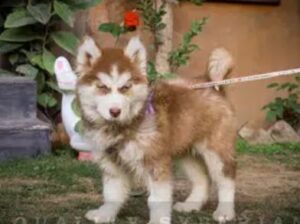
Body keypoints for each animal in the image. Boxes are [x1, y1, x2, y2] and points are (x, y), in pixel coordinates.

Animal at [75, 36, 237, 223]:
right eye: (102, 87)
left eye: (125, 87)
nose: (115, 111)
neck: (121, 127)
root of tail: (210, 83)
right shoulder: (111, 163)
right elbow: (111, 193)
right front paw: (105, 213)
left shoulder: (155, 162)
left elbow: (157, 198)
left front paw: (158, 218)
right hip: (185, 151)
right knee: (202, 178)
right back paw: (191, 204)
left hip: (216, 149)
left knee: (226, 179)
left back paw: (225, 211)